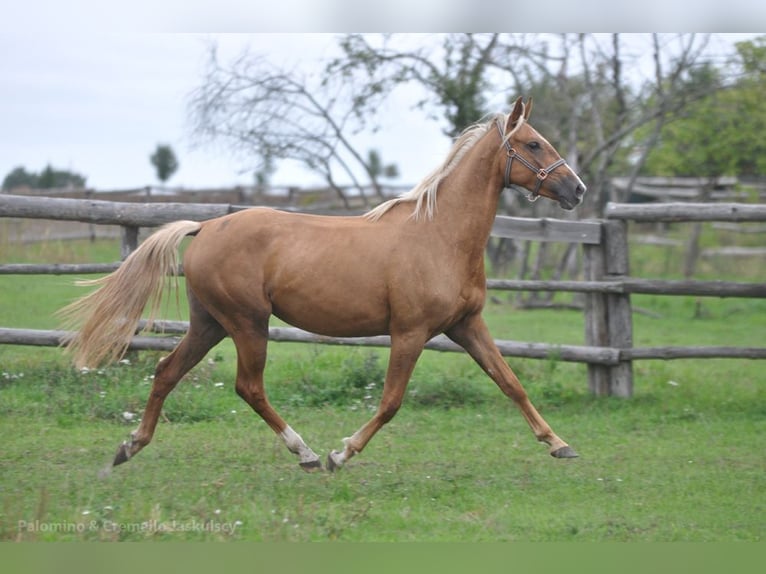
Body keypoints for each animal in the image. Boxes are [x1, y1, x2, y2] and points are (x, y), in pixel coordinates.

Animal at [60, 96, 586, 472]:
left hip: (210, 323)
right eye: (534, 143)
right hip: (247, 323)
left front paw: (559, 445)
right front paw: (341, 454)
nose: (577, 190)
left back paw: (129, 447)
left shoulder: (467, 325)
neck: (440, 234)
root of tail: (205, 228)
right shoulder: (410, 333)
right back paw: (308, 453)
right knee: (248, 387)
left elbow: (511, 383)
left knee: (167, 371)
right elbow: (391, 402)